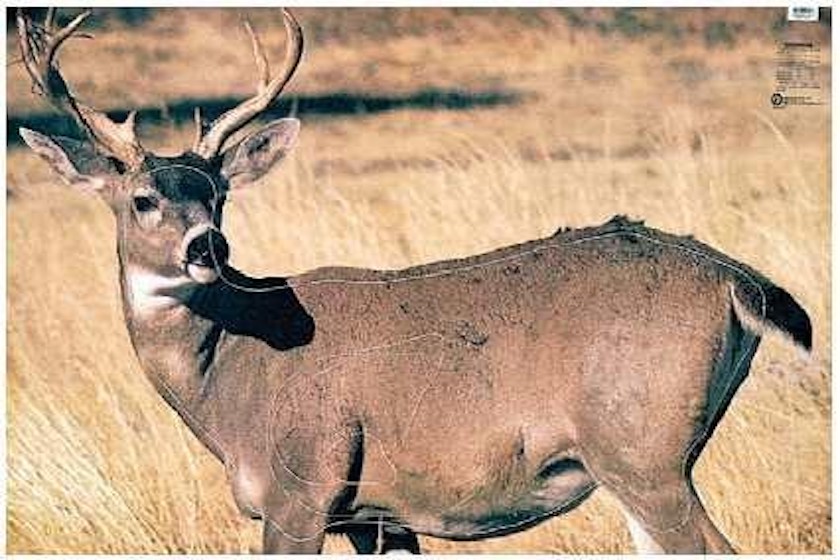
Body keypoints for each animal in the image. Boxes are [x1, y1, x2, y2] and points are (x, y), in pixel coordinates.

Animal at [16, 8, 812, 556]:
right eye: (143, 199)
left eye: (219, 194)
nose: (206, 244)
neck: (233, 381)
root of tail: (737, 278)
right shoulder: (377, 516)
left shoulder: (300, 491)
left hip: (641, 449)